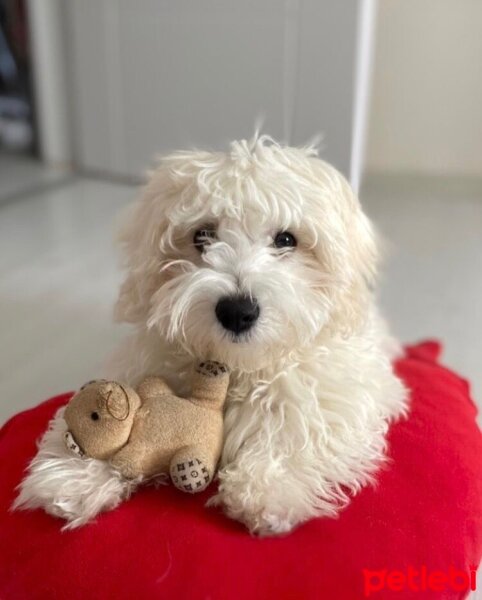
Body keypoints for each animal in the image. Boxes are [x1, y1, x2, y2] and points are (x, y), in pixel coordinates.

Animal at [14, 136, 406, 536]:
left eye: (286, 239)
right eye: (202, 235)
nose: (237, 311)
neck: (236, 363)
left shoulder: (335, 390)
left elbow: (304, 425)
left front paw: (268, 487)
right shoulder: (142, 362)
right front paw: (74, 475)